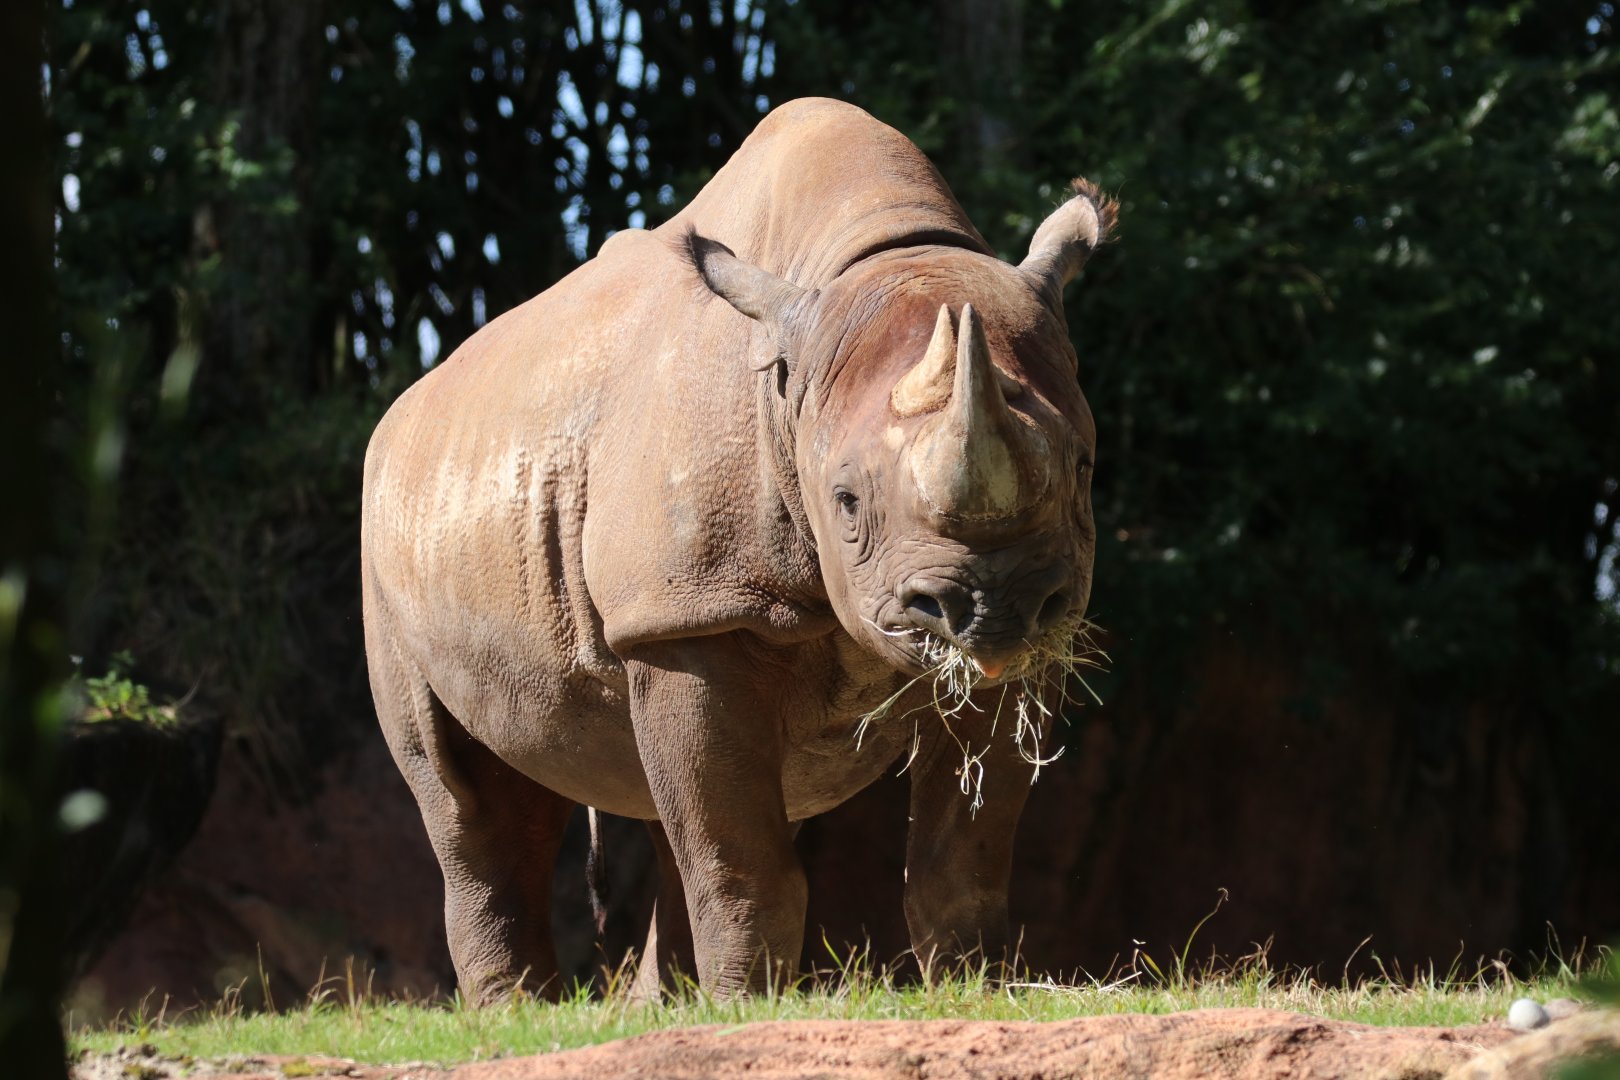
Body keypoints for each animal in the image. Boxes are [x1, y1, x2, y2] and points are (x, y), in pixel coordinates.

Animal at [362, 97, 1114, 999]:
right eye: (846, 502)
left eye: (1083, 467)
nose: (990, 607)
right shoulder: (691, 610)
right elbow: (741, 858)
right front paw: (745, 1004)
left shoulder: (1024, 639)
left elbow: (961, 855)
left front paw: (975, 989)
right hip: (394, 533)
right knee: (470, 796)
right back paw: (518, 1012)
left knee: (643, 797)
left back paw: (660, 1006)